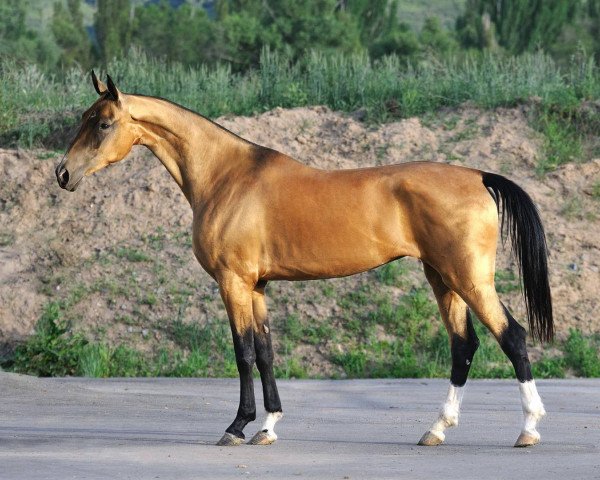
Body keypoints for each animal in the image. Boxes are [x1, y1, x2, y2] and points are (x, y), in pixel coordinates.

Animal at [55, 73, 552, 448]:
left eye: (102, 123)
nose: (63, 173)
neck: (226, 176)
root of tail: (479, 176)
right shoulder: (257, 286)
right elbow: (266, 352)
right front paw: (268, 427)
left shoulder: (233, 283)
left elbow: (243, 353)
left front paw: (237, 427)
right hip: (442, 279)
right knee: (463, 346)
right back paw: (436, 430)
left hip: (469, 280)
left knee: (512, 337)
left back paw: (528, 429)